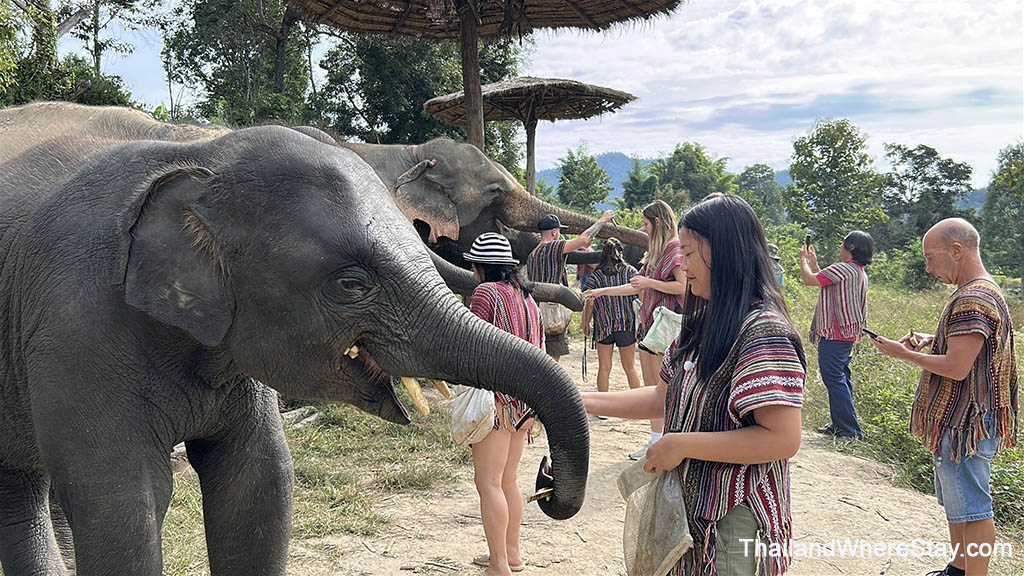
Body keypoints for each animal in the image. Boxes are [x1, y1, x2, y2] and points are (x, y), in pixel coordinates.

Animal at [0, 102, 589, 575]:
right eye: (351, 284)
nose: (546, 480)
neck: (194, 152)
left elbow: (259, 483)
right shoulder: (72, 329)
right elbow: (122, 502)